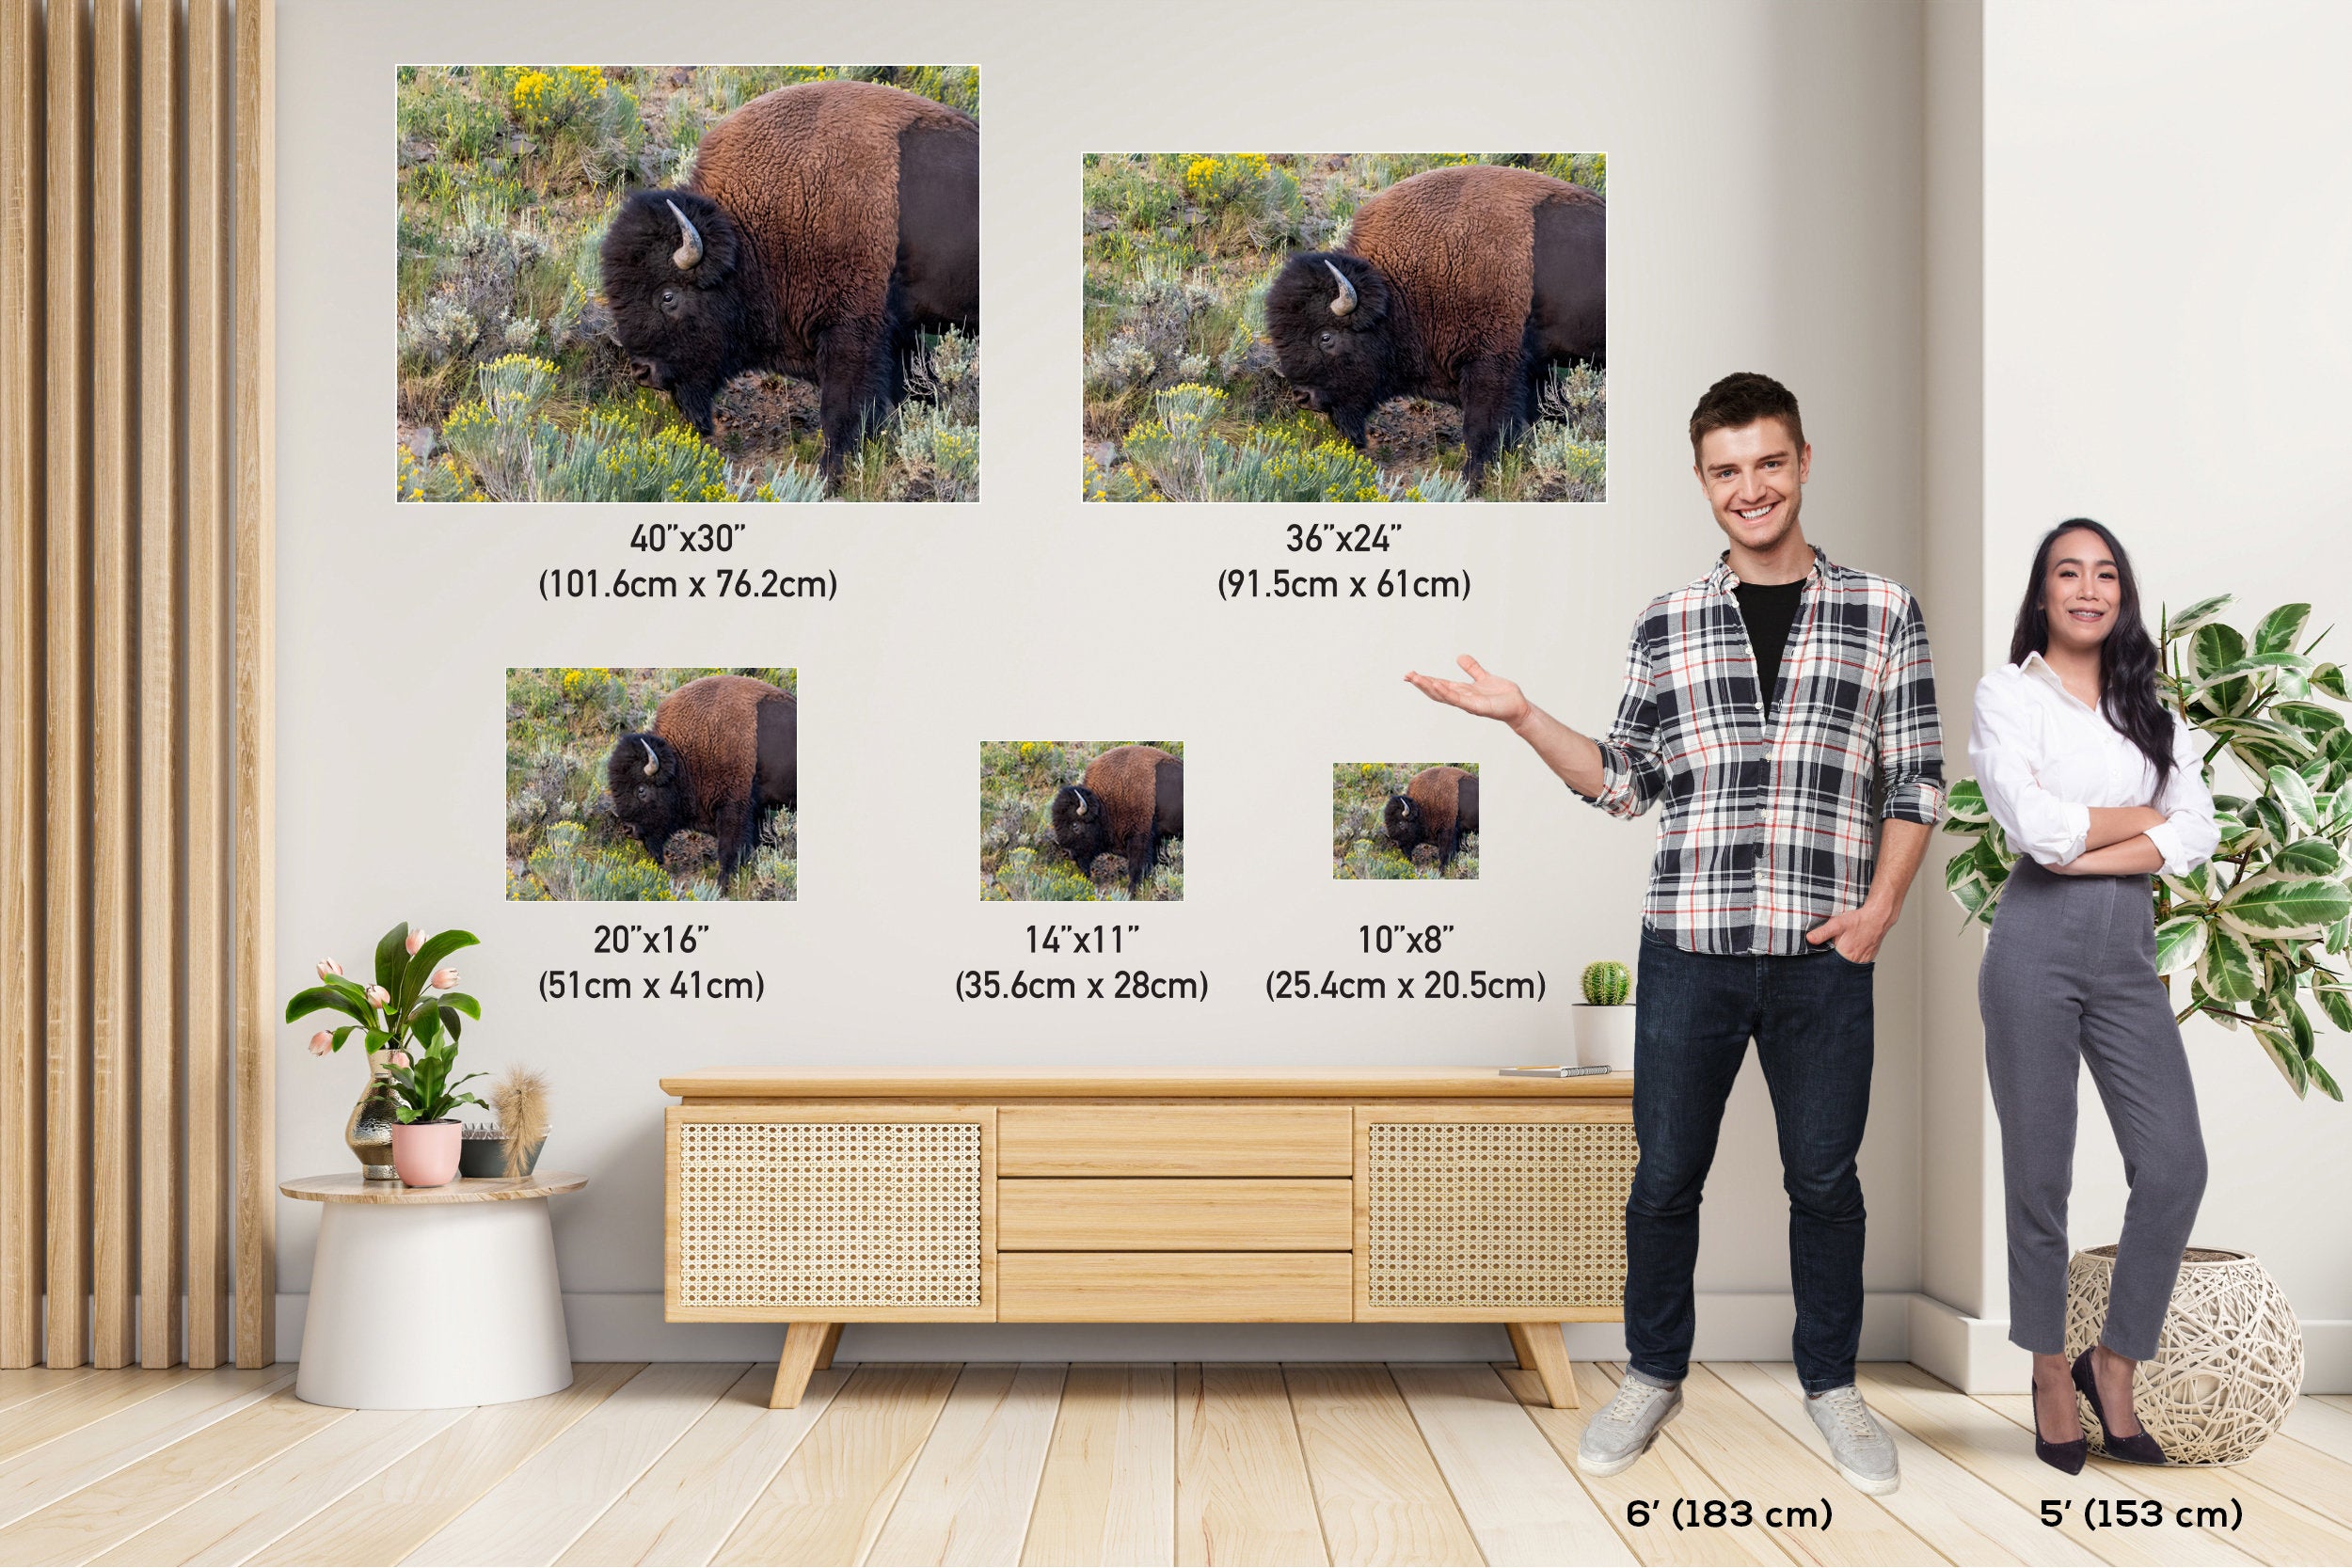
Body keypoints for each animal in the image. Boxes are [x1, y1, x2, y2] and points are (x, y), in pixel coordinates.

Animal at [600, 79, 978, 483]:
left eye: (668, 296)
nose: (642, 371)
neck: (747, 238)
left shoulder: (852, 334)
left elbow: (841, 411)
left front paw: (828, 475)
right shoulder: (894, 337)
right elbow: (915, 387)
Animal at [607, 675, 796, 878]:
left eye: (641, 790)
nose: (628, 829)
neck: (682, 757)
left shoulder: (735, 808)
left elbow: (730, 850)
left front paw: (724, 882)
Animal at [1050, 745, 1183, 898]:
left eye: (1075, 825)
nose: (1065, 853)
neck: (1103, 804)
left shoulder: (1140, 839)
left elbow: (1136, 869)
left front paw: (1131, 893)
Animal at [1265, 164, 1604, 490]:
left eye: (1326, 336)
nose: (1302, 397)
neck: (1395, 290)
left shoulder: (1491, 367)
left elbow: (1481, 429)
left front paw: (1471, 482)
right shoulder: (1531, 370)